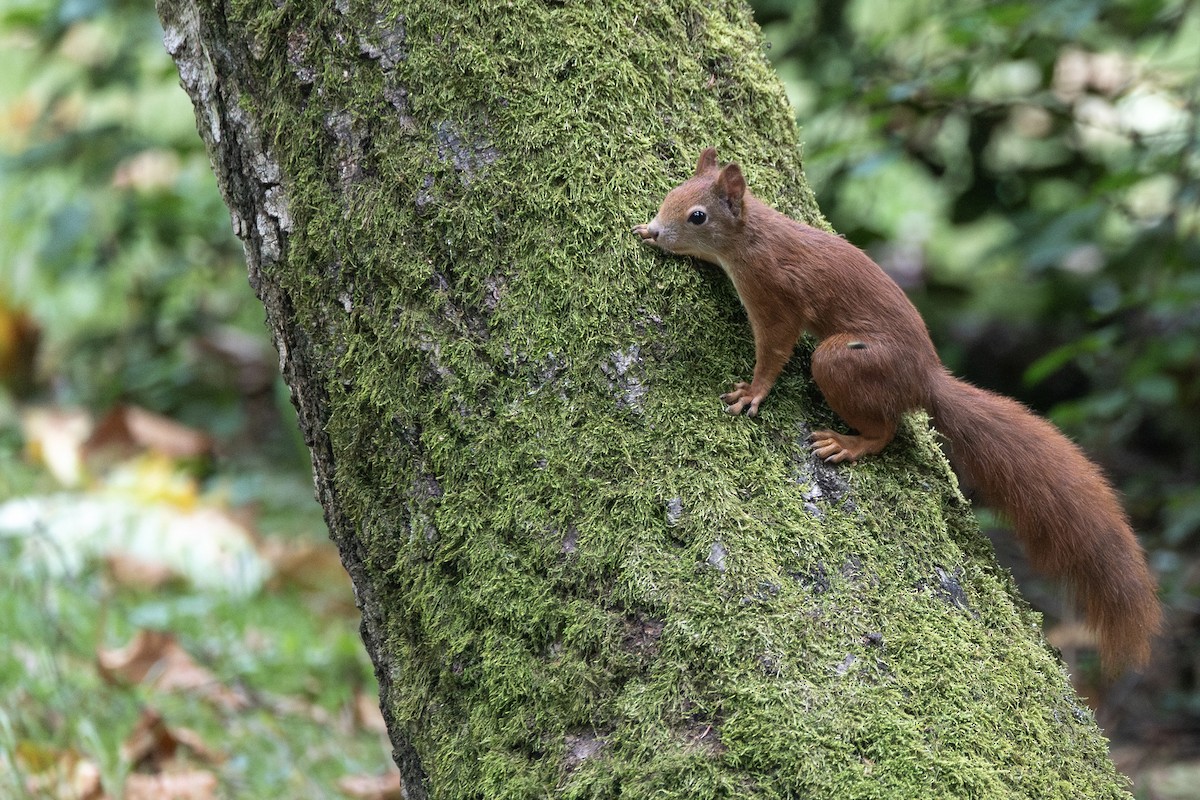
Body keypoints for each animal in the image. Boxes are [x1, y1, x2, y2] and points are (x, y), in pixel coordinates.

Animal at [632, 147, 1161, 673]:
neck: (750, 235)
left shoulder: (774, 292)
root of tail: (925, 379)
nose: (658, 229)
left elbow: (775, 348)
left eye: (698, 216)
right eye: (670, 195)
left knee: (884, 428)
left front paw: (754, 392)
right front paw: (649, 235)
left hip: (845, 361)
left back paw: (849, 443)